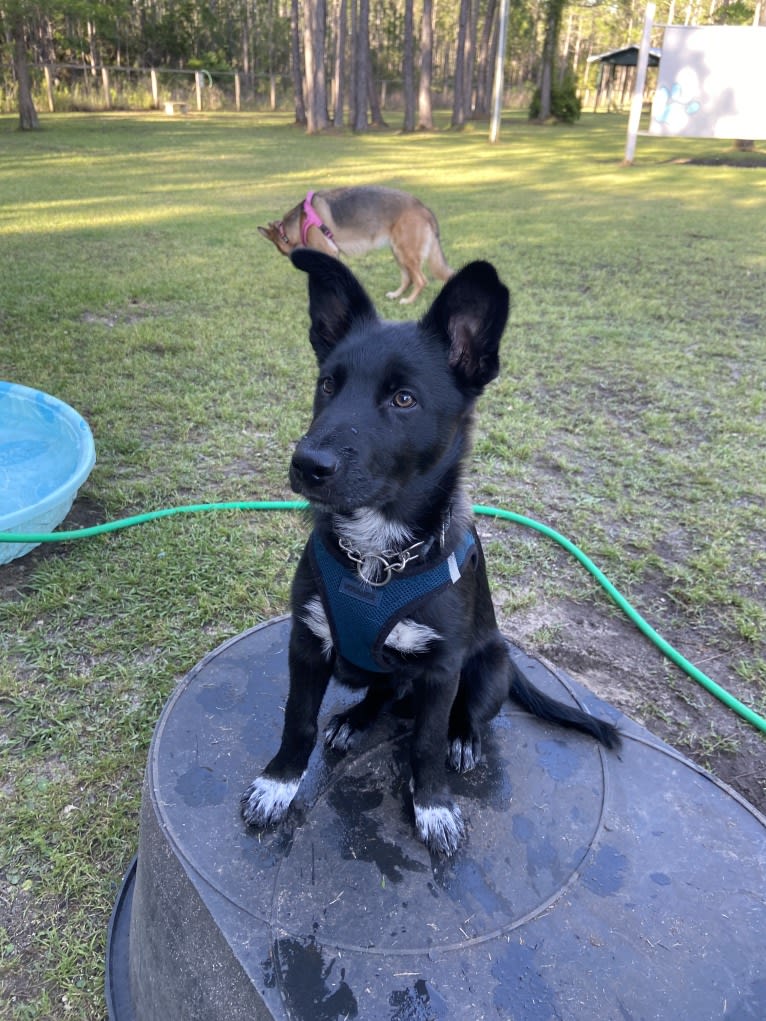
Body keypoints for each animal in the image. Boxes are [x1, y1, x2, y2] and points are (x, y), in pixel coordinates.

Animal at [243, 247, 620, 853]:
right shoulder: (307, 642)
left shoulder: (442, 669)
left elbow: (425, 742)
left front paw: (434, 806)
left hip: (490, 665)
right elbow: (297, 718)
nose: (307, 465)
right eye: (327, 385)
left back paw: (463, 739)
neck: (377, 557)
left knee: (464, 715)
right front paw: (278, 784)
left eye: (403, 399)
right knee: (384, 694)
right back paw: (355, 720)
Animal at [258, 185, 453, 302]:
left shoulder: (327, 252)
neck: (300, 221)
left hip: (405, 253)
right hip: (398, 252)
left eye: (282, 252)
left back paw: (408, 300)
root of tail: (424, 208)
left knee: (421, 280)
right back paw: (396, 295)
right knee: (408, 278)